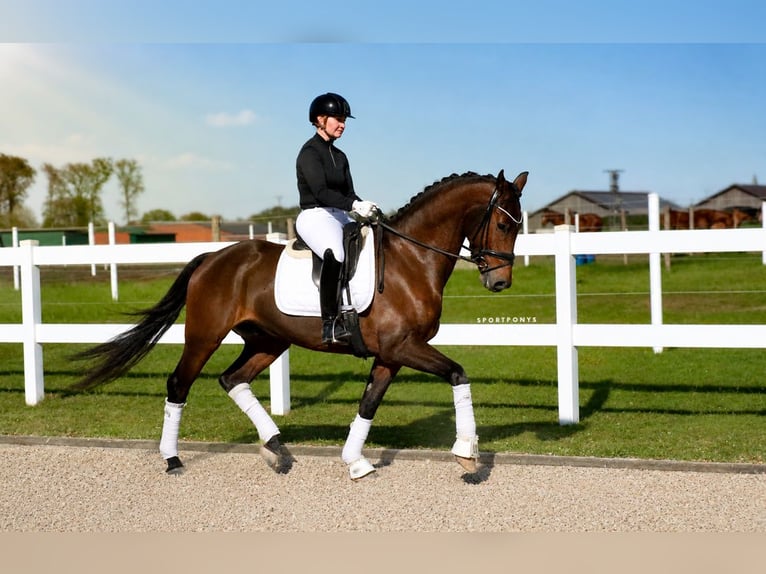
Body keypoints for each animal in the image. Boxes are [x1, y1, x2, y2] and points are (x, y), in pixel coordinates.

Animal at [73, 169, 528, 480]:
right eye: (504, 224)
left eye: (518, 226)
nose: (500, 282)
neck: (410, 261)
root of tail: (211, 257)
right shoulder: (403, 347)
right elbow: (458, 374)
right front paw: (467, 454)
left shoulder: (391, 354)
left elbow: (368, 404)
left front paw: (355, 461)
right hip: (204, 336)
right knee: (179, 385)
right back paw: (173, 459)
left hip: (268, 341)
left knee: (232, 379)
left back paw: (277, 448)